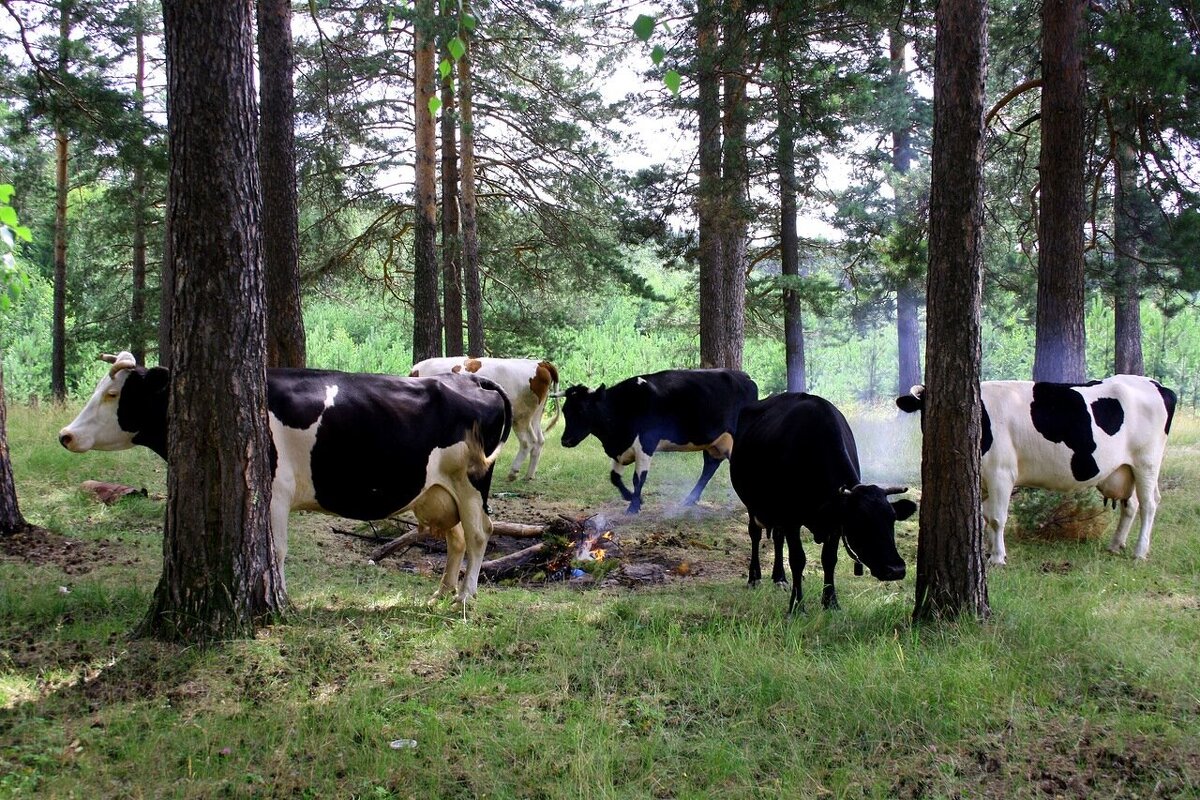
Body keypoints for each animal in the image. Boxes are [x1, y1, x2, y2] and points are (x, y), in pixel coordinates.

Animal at [59, 352, 511, 606]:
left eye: (114, 395)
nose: (66, 435)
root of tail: (471, 377)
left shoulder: (275, 492)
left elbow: (275, 551)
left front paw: (280, 598)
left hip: (470, 483)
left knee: (479, 534)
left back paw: (466, 595)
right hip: (437, 491)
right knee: (456, 539)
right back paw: (443, 590)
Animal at [410, 357, 559, 482]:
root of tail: (541, 363)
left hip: (520, 416)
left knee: (528, 442)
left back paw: (513, 472)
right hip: (535, 416)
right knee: (539, 441)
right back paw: (529, 475)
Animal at [561, 369, 758, 513]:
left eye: (582, 410)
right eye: (564, 410)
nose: (565, 440)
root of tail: (744, 376)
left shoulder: (646, 444)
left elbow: (638, 478)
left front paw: (633, 507)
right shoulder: (620, 449)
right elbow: (614, 477)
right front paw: (633, 498)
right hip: (715, 442)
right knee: (710, 466)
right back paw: (689, 499)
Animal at [724, 393, 912, 614]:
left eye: (892, 520)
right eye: (861, 522)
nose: (896, 569)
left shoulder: (835, 524)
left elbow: (829, 559)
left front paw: (831, 601)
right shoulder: (792, 518)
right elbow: (798, 559)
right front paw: (797, 606)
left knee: (777, 537)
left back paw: (779, 578)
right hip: (752, 504)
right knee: (755, 534)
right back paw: (754, 578)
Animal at [897, 374, 1176, 563]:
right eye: (923, 408)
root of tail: (1156, 384)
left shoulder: (1001, 472)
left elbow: (997, 518)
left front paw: (997, 557)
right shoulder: (983, 479)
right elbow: (985, 516)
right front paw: (987, 550)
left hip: (1147, 462)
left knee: (1149, 504)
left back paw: (1140, 552)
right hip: (1125, 468)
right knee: (1132, 505)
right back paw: (1116, 544)